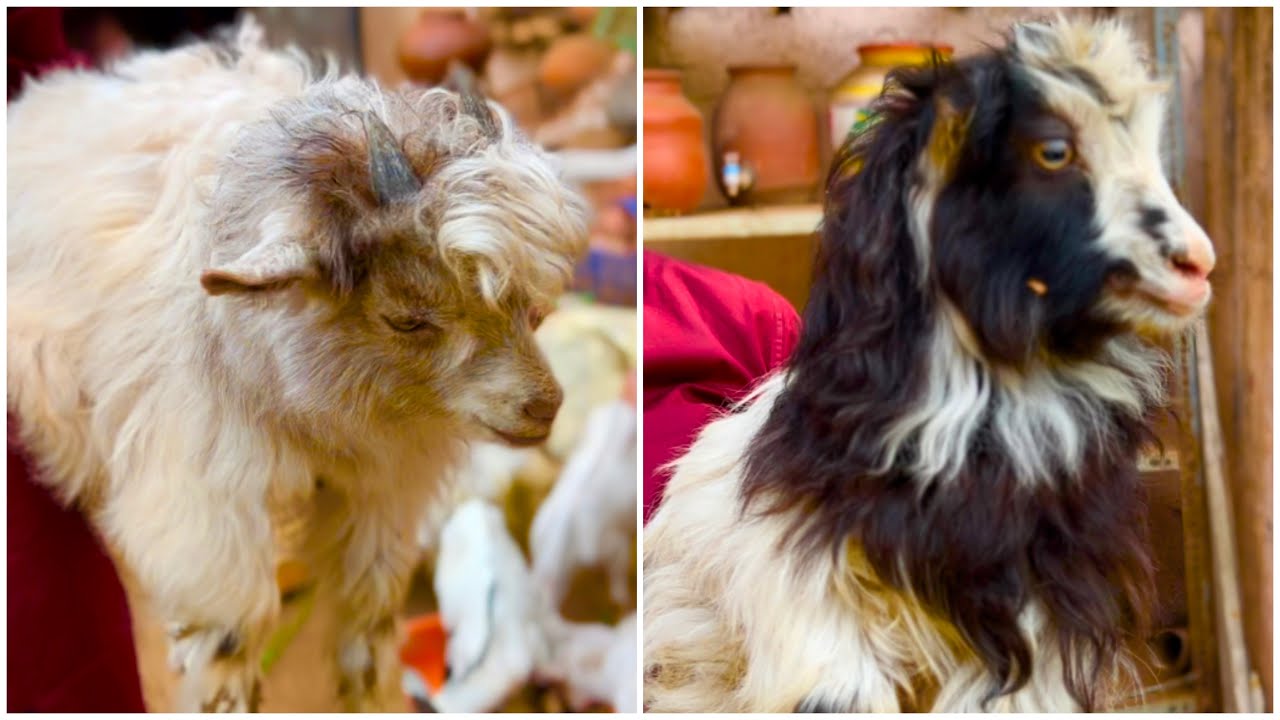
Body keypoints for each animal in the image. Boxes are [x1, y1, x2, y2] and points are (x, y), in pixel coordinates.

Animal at [7, 22, 588, 712]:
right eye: (406, 318)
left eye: (533, 309)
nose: (544, 407)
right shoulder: (205, 486)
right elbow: (231, 602)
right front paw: (224, 691)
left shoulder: (385, 484)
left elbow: (371, 590)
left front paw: (366, 682)